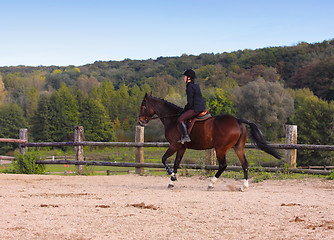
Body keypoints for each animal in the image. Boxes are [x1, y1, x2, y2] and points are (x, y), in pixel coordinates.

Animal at [137, 93, 280, 190]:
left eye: (143, 106)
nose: (140, 122)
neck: (172, 119)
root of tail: (238, 121)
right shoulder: (181, 147)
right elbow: (177, 163)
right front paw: (172, 181)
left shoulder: (174, 145)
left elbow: (164, 159)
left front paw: (172, 176)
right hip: (238, 148)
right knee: (244, 164)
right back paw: (243, 186)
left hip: (220, 149)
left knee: (223, 165)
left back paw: (211, 183)